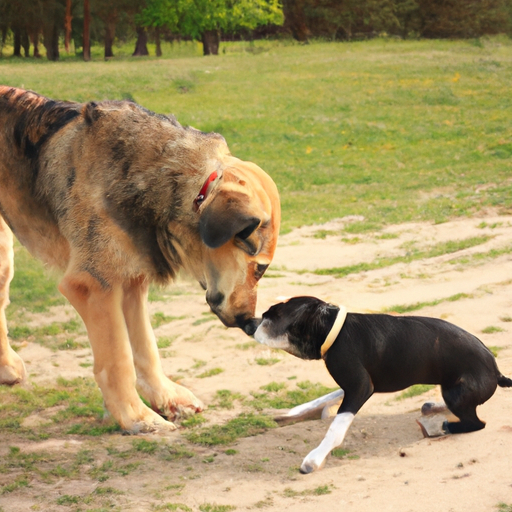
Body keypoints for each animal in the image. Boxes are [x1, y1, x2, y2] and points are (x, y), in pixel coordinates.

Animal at [0, 87, 280, 432]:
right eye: (260, 269)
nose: (249, 322)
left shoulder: (132, 280)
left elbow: (146, 347)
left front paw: (166, 398)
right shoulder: (95, 285)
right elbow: (118, 358)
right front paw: (135, 416)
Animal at [255, 298, 512, 474]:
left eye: (271, 317)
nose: (251, 322)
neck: (333, 331)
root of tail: (497, 372)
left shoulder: (360, 387)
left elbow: (336, 427)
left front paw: (314, 459)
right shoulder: (353, 386)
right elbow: (323, 398)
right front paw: (286, 414)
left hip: (456, 393)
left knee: (476, 423)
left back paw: (446, 426)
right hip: (449, 389)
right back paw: (433, 408)